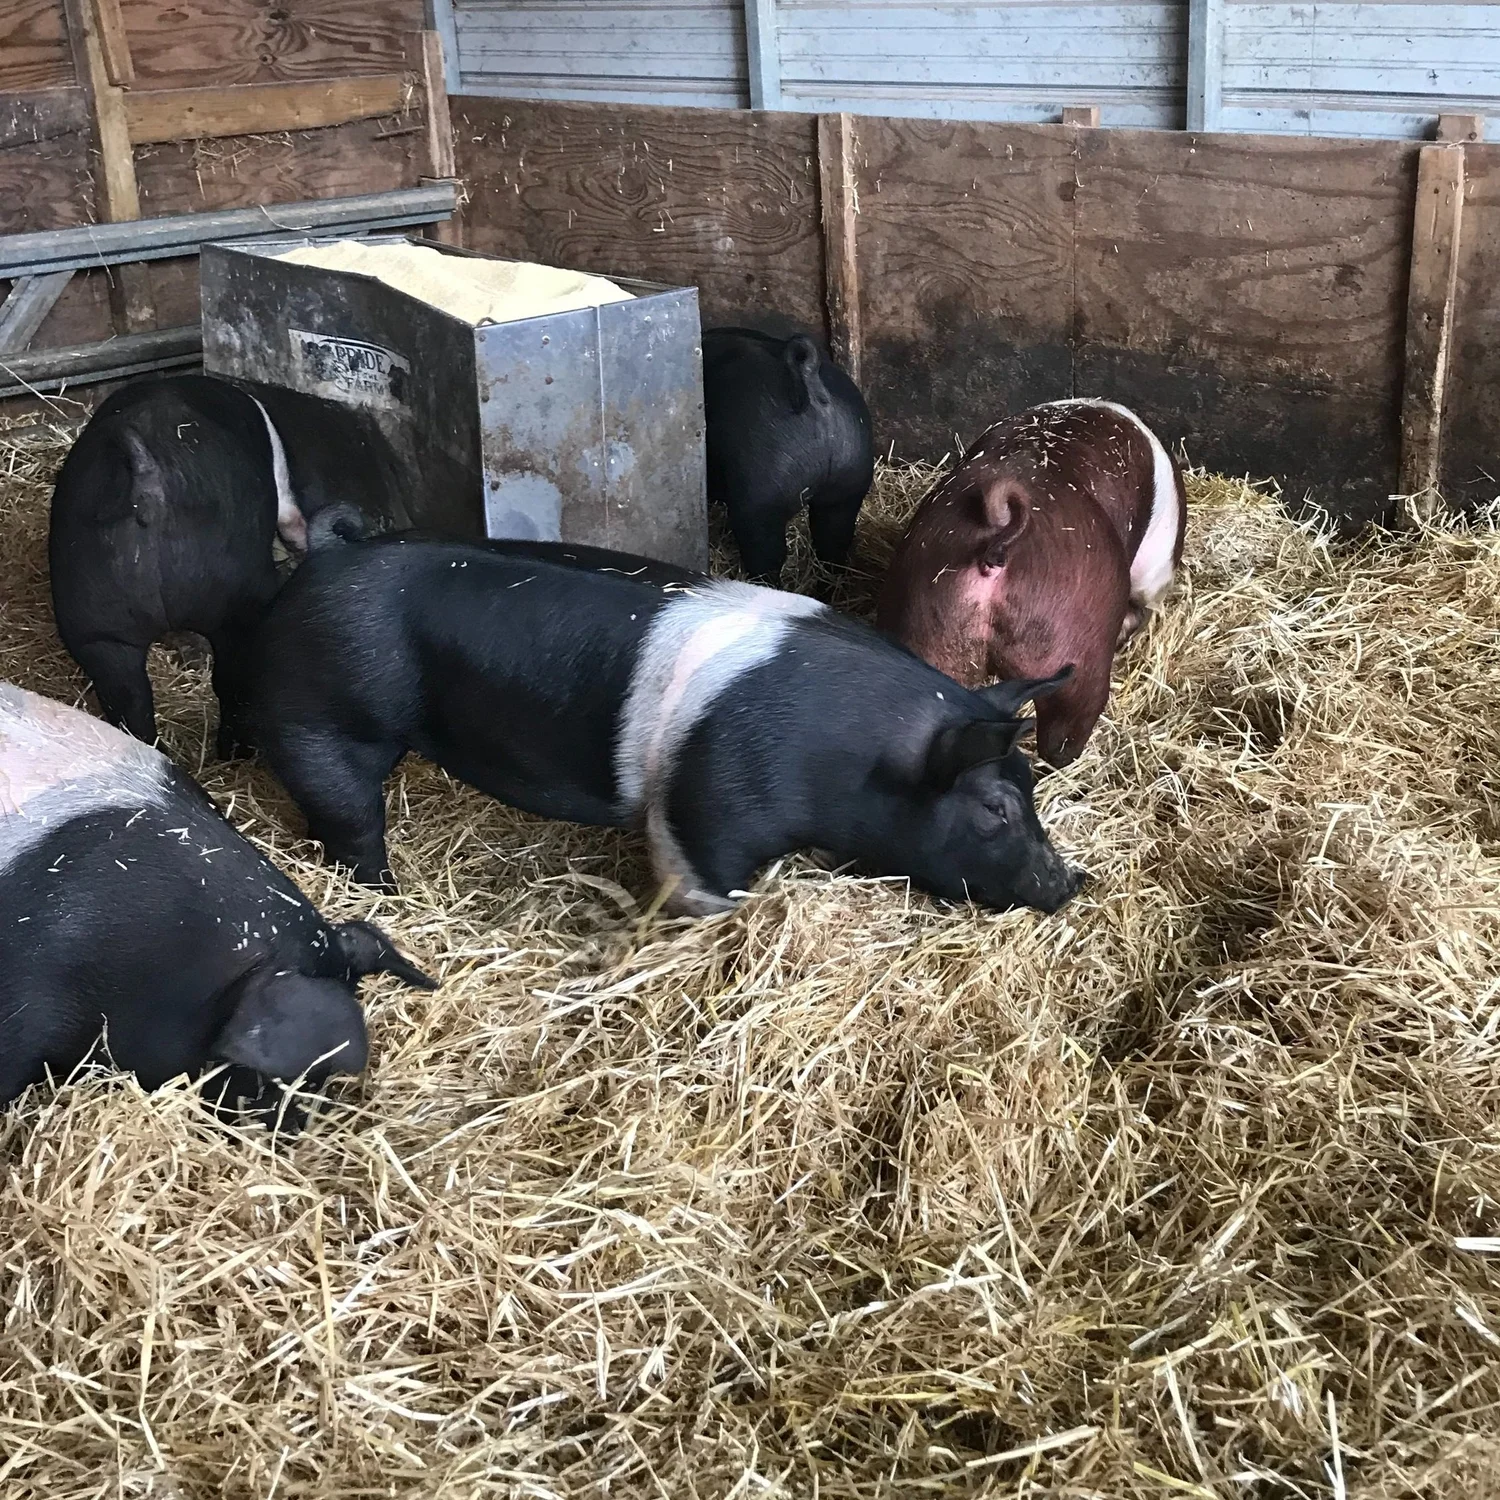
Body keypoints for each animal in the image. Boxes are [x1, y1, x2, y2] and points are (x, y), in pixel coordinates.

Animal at [48, 374, 402, 759]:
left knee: (129, 700)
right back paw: (236, 753)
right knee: (231, 680)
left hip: (94, 619)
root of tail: (148, 483)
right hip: (234, 603)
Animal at [247, 534, 1083, 917]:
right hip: (322, 720)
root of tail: (314, 568)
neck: (851, 757)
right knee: (349, 819)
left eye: (1032, 792)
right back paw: (385, 896)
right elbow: (703, 886)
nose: (1071, 882)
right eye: (995, 808)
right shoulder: (705, 815)